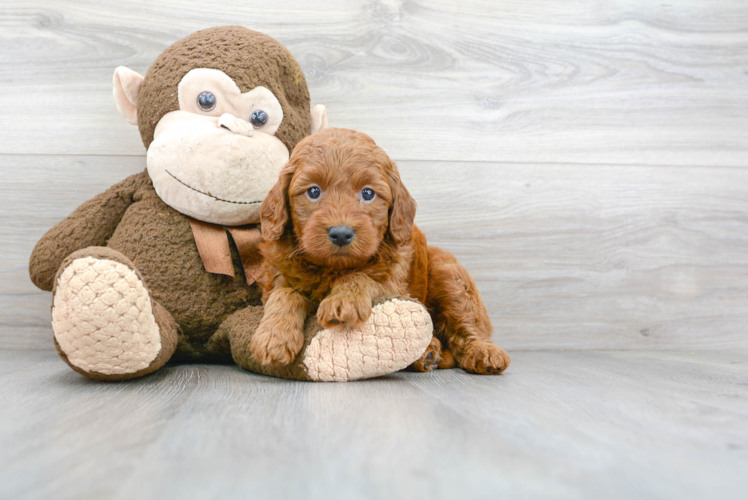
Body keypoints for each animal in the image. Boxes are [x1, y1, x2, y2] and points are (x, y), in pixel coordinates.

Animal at [250, 129, 508, 376]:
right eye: (313, 191)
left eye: (367, 193)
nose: (341, 234)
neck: (334, 269)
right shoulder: (277, 276)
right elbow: (285, 293)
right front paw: (273, 338)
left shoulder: (394, 283)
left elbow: (361, 277)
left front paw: (344, 301)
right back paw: (429, 353)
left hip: (448, 276)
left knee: (467, 324)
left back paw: (482, 352)